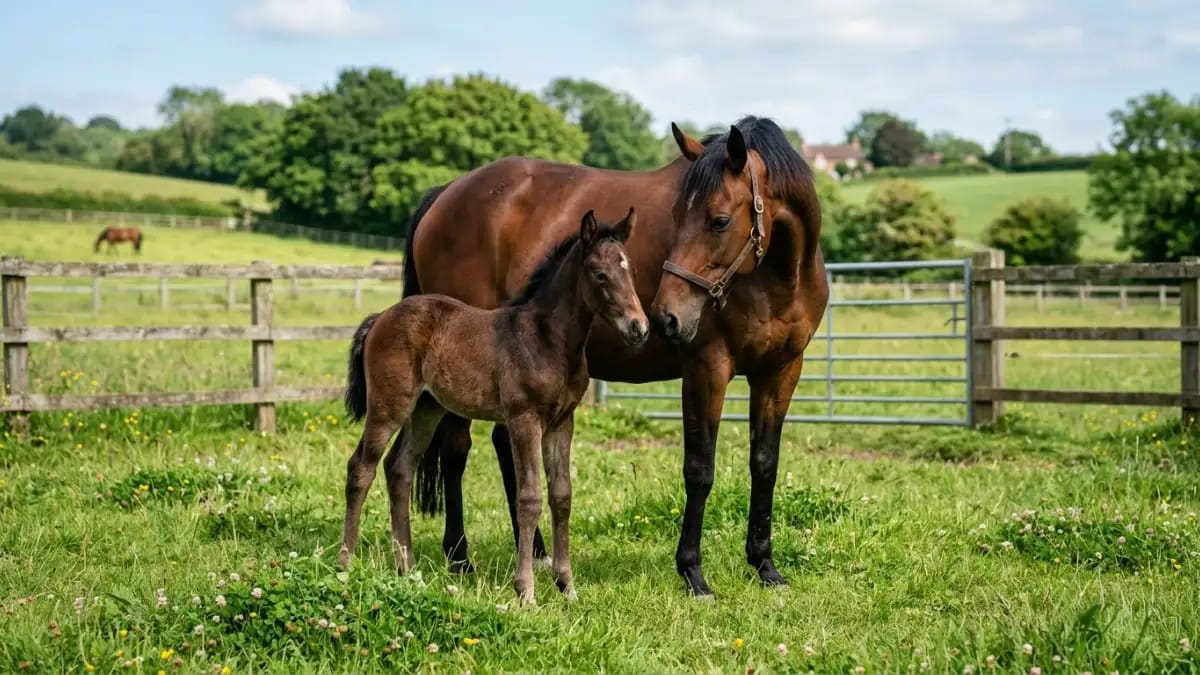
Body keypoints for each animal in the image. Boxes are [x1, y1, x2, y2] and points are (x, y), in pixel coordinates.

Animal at [340, 208, 647, 604]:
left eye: (631, 271)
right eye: (599, 273)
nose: (639, 328)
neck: (549, 340)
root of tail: (382, 317)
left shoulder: (562, 422)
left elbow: (562, 496)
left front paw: (567, 587)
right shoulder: (524, 419)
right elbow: (529, 497)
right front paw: (526, 591)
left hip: (426, 409)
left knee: (399, 468)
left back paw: (407, 570)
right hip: (388, 405)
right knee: (361, 468)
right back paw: (345, 564)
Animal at [402, 115, 828, 599]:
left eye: (719, 221)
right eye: (677, 217)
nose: (666, 316)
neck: (777, 277)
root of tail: (447, 193)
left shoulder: (781, 371)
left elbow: (765, 465)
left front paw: (765, 565)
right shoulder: (706, 369)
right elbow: (699, 469)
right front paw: (693, 573)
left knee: (499, 446)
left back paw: (535, 550)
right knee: (456, 451)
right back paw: (460, 557)